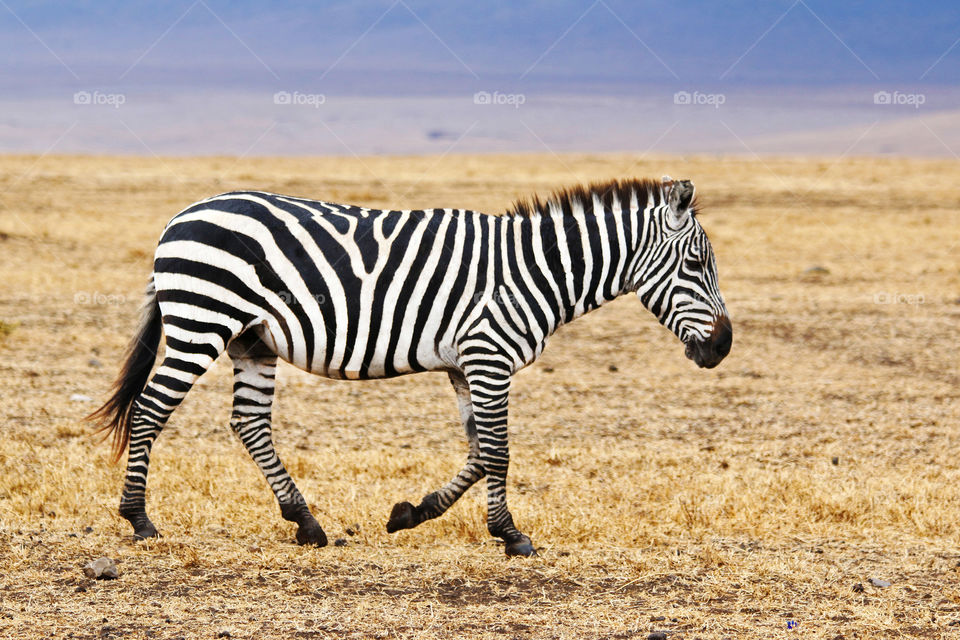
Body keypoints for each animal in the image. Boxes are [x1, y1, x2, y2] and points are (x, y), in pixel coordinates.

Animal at [89, 176, 731, 557]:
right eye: (695, 265)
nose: (723, 347)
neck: (533, 271)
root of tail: (180, 215)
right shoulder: (489, 355)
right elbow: (499, 451)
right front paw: (511, 536)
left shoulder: (466, 364)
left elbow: (479, 451)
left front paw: (410, 514)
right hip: (202, 321)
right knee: (149, 410)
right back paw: (139, 519)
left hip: (253, 341)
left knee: (249, 424)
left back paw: (306, 523)